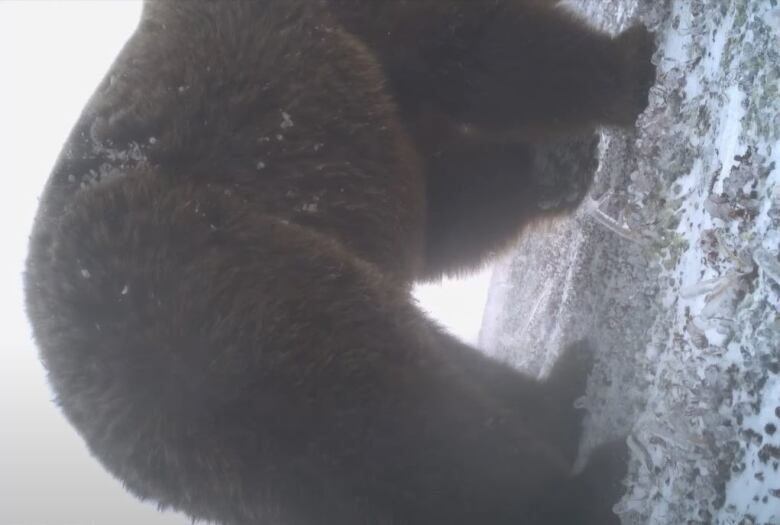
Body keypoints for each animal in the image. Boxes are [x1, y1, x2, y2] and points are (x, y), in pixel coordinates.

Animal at [24, 2, 656, 520]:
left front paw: (557, 163)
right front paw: (630, 68)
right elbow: (464, 43)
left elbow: (438, 206)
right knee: (391, 417)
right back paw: (586, 485)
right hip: (220, 302)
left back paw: (561, 398)